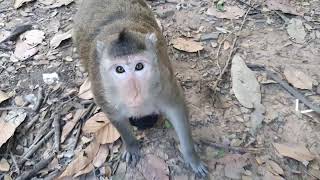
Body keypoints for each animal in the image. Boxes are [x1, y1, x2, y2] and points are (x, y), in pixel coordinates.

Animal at [72, 0, 208, 176]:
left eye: (139, 66)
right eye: (120, 69)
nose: (134, 93)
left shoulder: (165, 80)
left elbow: (176, 110)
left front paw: (191, 156)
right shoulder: (101, 91)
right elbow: (117, 119)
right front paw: (131, 145)